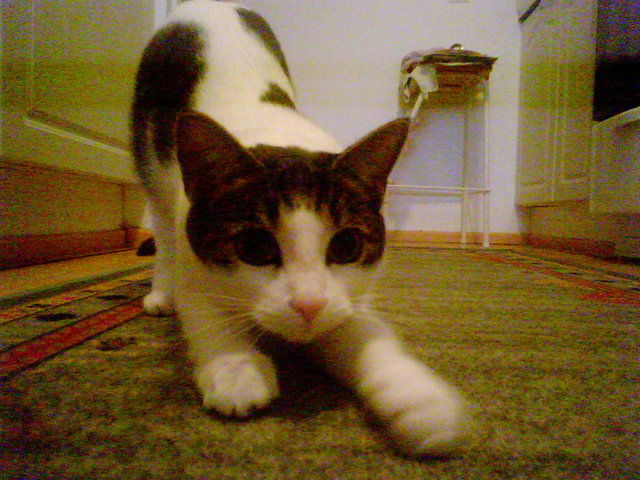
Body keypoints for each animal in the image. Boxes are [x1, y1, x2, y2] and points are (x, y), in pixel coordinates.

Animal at [131, 0, 466, 457]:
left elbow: (362, 333)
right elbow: (205, 311)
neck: (279, 134)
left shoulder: (346, 297)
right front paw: (235, 369)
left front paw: (419, 398)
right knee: (161, 224)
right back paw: (160, 294)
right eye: (255, 247)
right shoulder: (193, 248)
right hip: (151, 157)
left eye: (345, 246)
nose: (308, 305)